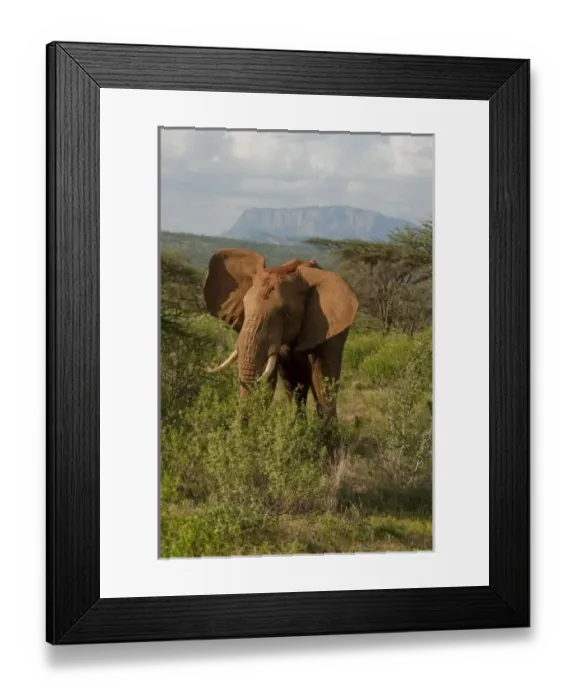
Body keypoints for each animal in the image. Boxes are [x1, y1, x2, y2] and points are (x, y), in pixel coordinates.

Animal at [202, 248, 358, 424]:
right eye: (245, 307)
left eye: (285, 314)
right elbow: (270, 377)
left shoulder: (328, 330)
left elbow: (322, 380)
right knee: (294, 385)